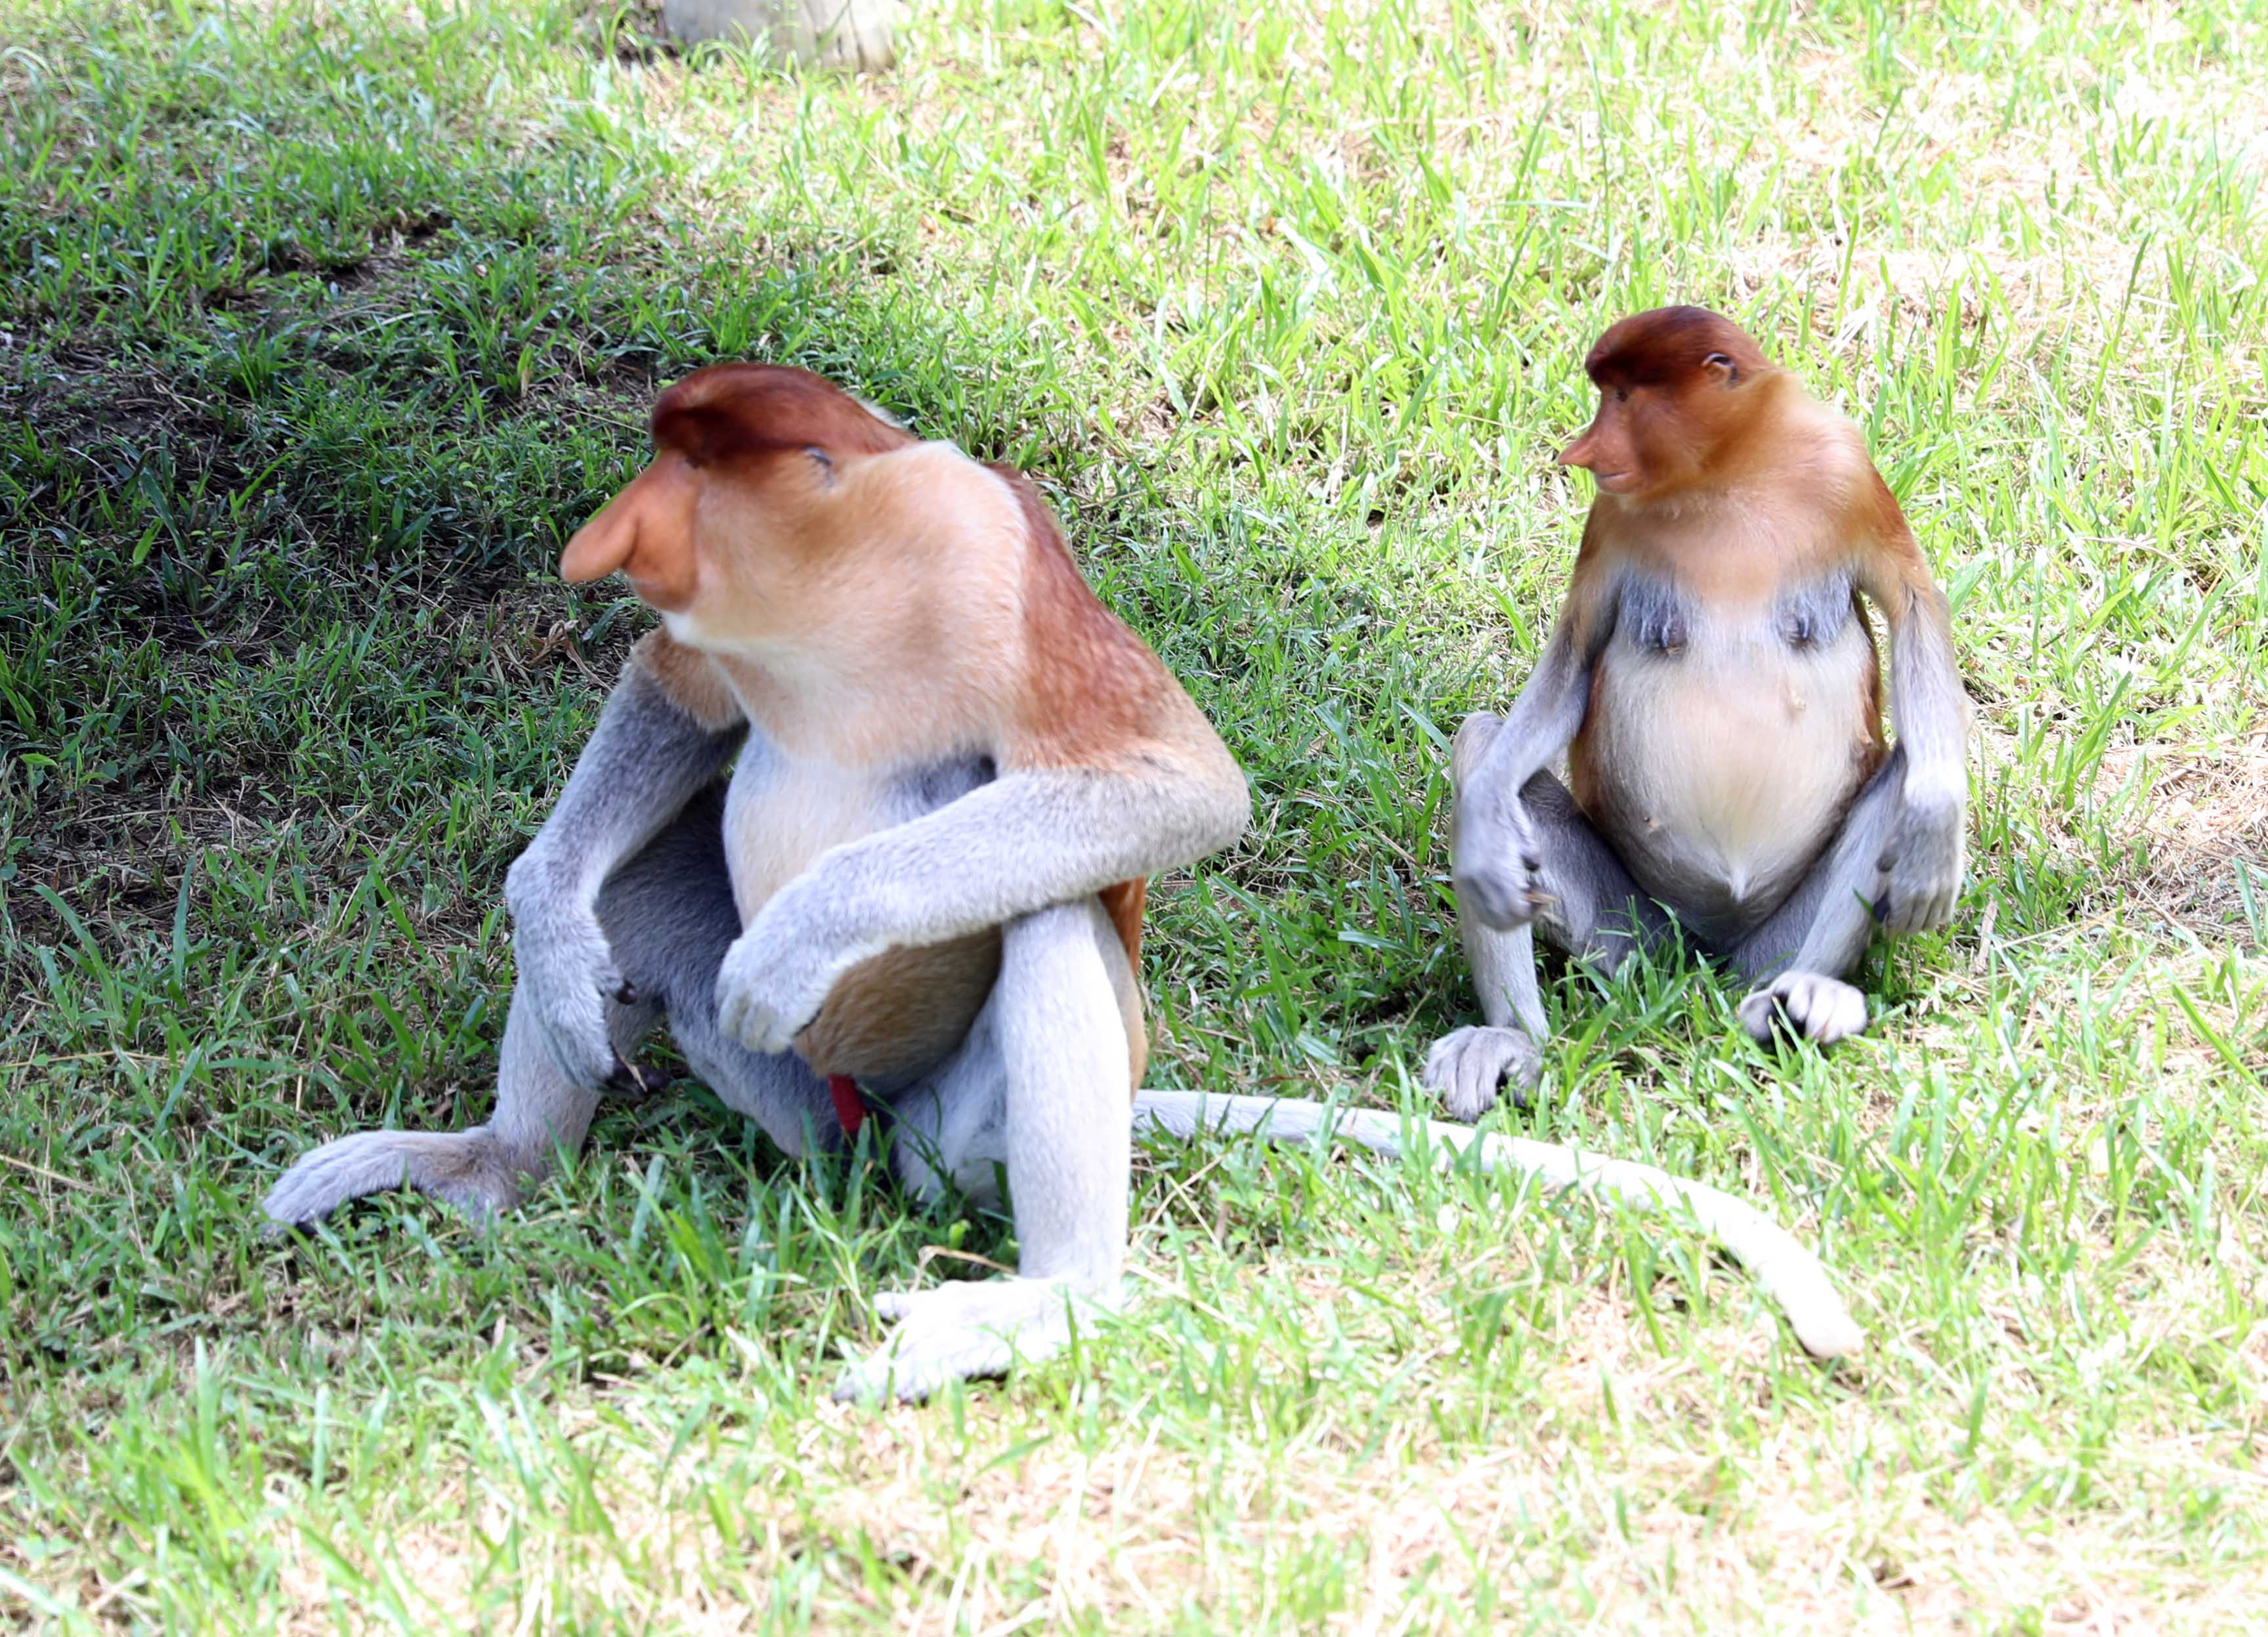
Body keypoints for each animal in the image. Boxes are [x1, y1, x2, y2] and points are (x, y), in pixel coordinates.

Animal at [262, 362, 1864, 1401]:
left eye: (685, 470)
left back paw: (1043, 1305)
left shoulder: (992, 568)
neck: (831, 591)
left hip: (958, 1122)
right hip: (803, 1119)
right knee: (641, 877)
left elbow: (1171, 785)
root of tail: (875, 1138)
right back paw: (491, 1159)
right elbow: (675, 697)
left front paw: (792, 948)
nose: (603, 535)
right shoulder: (717, 640)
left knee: (1038, 911)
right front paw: (544, 920)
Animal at [1424, 306, 1971, 1121]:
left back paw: (1798, 999)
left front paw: (1935, 840)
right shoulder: (1610, 519)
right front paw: (1485, 847)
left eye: (1622, 398)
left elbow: (1913, 611)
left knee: (1901, 771)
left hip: (1771, 940)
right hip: (1632, 936)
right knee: (1482, 743)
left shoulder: (1846, 474)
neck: (1725, 477)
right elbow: (1570, 663)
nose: (1579, 450)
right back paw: (1514, 1041)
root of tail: (1712, 954)